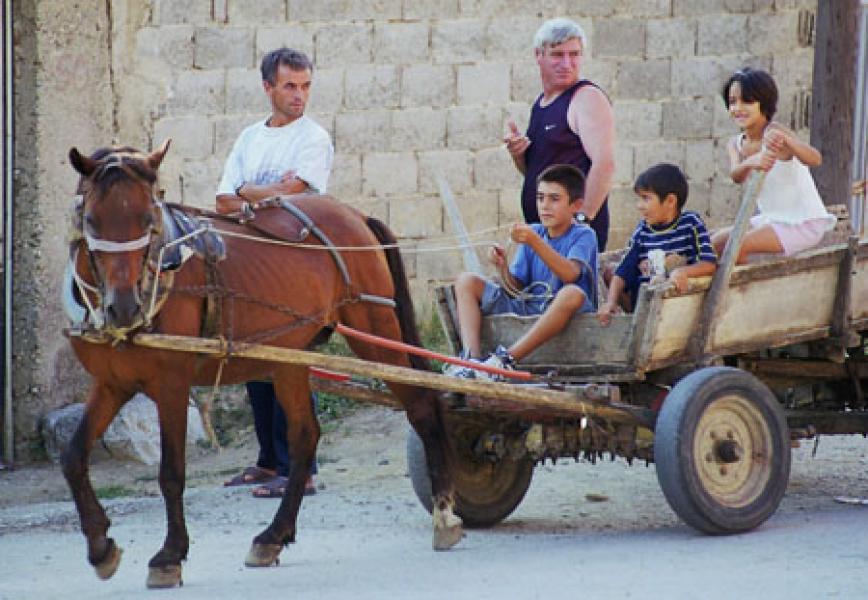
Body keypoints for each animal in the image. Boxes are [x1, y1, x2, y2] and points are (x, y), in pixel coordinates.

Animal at [60, 142, 462, 592]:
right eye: (91, 220)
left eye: (149, 219)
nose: (125, 307)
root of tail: (355, 215)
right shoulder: (112, 383)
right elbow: (73, 456)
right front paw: (100, 547)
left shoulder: (172, 384)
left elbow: (171, 472)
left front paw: (169, 556)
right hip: (290, 356)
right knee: (305, 436)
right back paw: (273, 536)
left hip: (373, 328)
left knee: (422, 406)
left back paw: (445, 512)